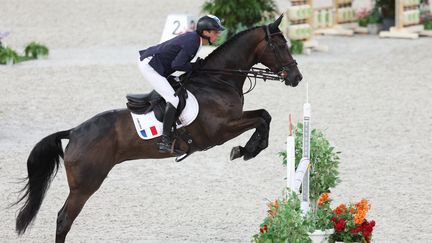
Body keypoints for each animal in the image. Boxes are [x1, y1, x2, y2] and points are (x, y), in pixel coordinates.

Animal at [14, 14, 304, 241]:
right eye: (280, 45)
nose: (297, 77)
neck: (218, 81)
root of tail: (73, 132)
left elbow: (264, 115)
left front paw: (247, 149)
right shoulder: (221, 130)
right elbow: (262, 119)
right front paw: (246, 150)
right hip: (85, 185)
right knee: (64, 219)